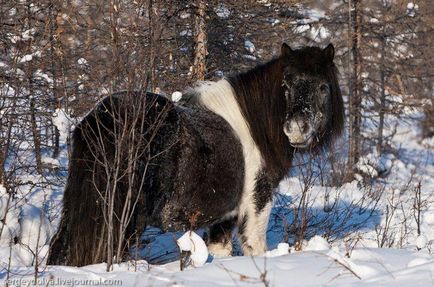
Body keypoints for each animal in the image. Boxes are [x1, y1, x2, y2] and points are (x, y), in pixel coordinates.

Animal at [47, 43, 344, 268]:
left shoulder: (224, 217)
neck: (255, 125)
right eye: (286, 85)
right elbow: (255, 245)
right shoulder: (258, 201)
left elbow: (220, 250)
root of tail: (100, 121)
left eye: (323, 87)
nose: (296, 129)